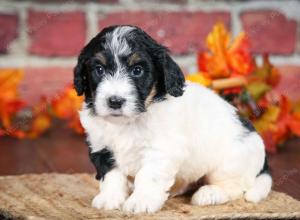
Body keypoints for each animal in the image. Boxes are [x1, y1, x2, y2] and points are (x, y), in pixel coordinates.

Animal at [74, 25, 272, 213]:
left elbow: (148, 175)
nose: (115, 101)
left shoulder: (161, 150)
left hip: (229, 164)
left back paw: (210, 193)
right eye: (99, 70)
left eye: (137, 70)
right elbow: (111, 175)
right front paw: (110, 198)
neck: (129, 122)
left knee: (235, 187)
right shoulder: (102, 147)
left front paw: (141, 201)